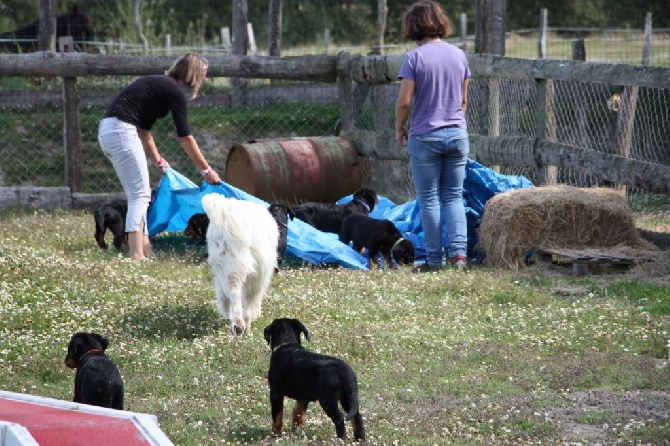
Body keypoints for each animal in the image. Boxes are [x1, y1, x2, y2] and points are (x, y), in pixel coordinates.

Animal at [202, 193, 280, 336]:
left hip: (229, 268)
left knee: (234, 293)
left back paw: (237, 325)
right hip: (249, 270)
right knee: (244, 297)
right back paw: (243, 325)